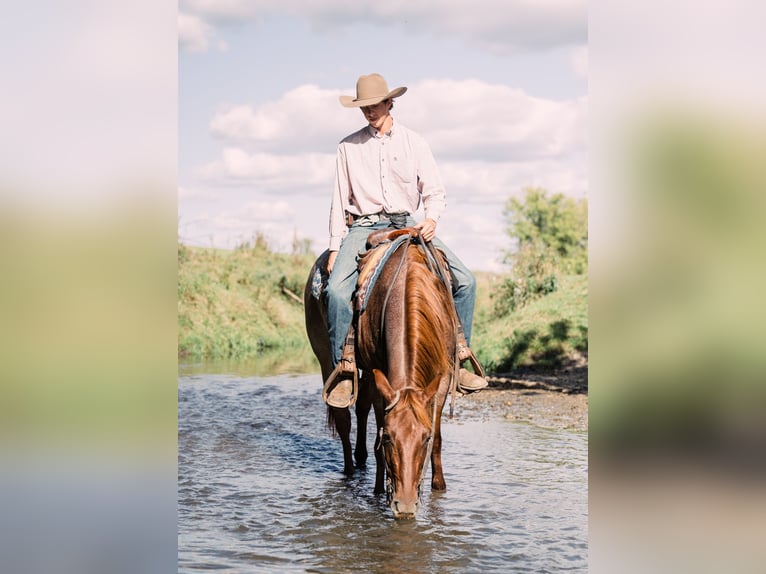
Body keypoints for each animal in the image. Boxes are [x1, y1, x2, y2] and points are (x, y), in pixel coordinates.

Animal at [304, 230, 462, 520]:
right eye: (388, 437)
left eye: (424, 438)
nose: (406, 506)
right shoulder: (381, 378)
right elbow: (376, 427)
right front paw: (379, 491)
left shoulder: (443, 377)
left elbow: (438, 436)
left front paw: (439, 487)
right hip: (325, 359)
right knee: (343, 418)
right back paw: (350, 470)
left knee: (361, 407)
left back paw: (360, 457)